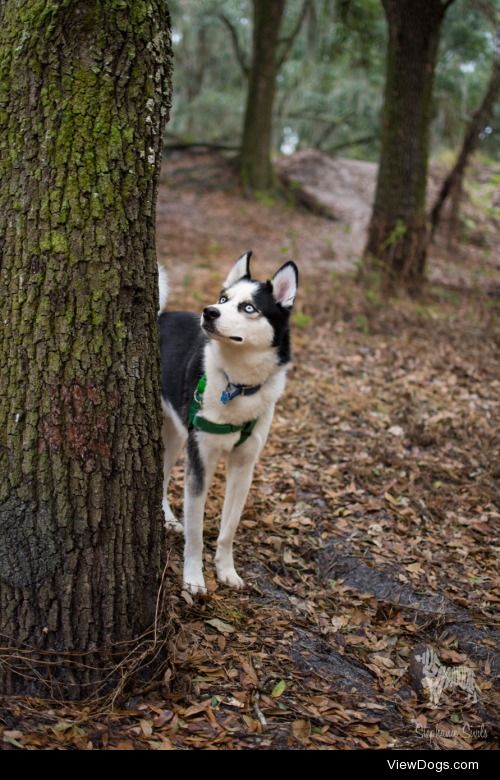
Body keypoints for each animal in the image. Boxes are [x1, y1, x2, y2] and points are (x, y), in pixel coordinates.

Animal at [160, 253, 298, 596]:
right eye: (223, 299)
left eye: (248, 307)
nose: (209, 311)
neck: (237, 384)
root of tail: (159, 316)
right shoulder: (201, 461)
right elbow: (195, 533)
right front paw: (193, 578)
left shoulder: (243, 466)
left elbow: (229, 528)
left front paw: (226, 570)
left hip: (177, 436)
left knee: (163, 475)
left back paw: (167, 518)